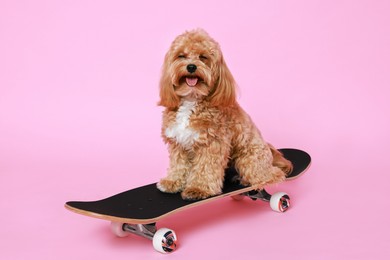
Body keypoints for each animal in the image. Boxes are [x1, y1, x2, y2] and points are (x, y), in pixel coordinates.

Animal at [157, 28, 290, 200]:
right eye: (181, 56)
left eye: (203, 57)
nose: (191, 67)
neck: (192, 98)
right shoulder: (178, 142)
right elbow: (178, 165)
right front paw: (172, 182)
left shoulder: (212, 143)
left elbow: (205, 168)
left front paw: (198, 189)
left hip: (250, 158)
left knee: (272, 175)